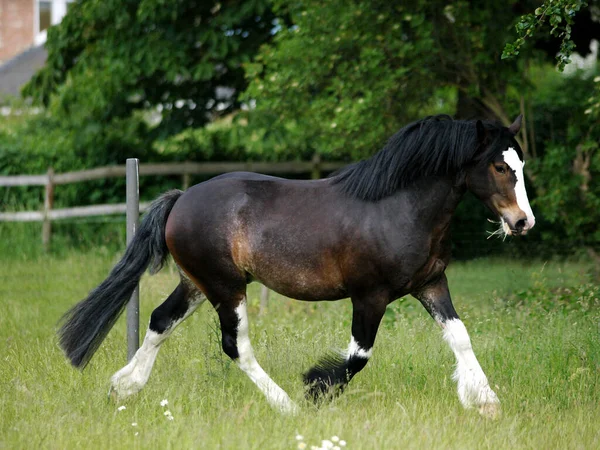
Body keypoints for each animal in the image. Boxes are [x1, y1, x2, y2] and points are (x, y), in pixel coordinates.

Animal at [57, 114, 536, 416]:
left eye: (520, 163)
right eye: (499, 166)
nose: (523, 222)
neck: (397, 207)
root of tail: (181, 199)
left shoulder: (431, 284)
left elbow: (460, 337)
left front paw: (487, 403)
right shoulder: (370, 295)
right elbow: (358, 356)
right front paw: (314, 390)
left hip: (197, 284)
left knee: (160, 321)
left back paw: (123, 388)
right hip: (226, 288)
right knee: (236, 347)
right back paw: (286, 406)